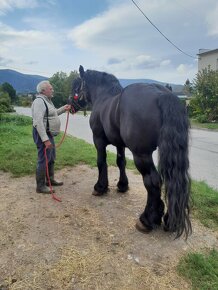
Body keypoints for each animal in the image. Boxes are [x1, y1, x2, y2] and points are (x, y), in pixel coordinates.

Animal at [70, 65, 192, 238]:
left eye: (76, 85)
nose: (70, 105)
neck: (103, 97)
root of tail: (161, 93)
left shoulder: (98, 140)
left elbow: (101, 162)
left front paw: (100, 187)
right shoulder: (119, 144)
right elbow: (121, 162)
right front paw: (122, 185)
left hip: (141, 155)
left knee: (152, 181)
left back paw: (147, 219)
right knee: (171, 180)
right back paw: (168, 220)